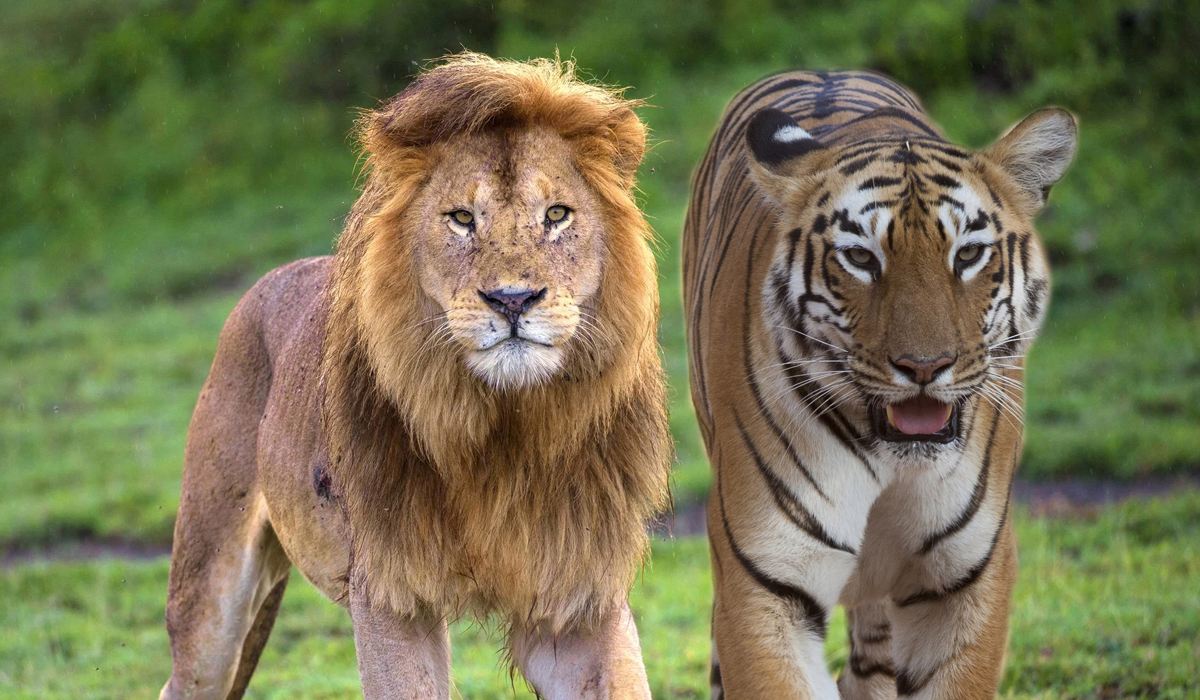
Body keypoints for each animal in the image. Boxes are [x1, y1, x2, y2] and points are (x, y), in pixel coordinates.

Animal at [682, 70, 1077, 698]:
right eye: (862, 259)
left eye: (968, 254)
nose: (924, 366)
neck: (895, 463)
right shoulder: (765, 583)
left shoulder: (966, 580)